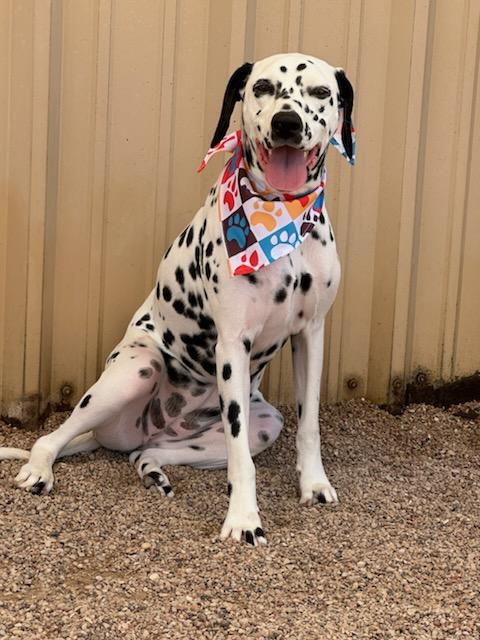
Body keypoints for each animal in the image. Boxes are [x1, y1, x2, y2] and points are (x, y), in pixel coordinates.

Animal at [0, 52, 352, 548]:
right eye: (262, 87)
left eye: (321, 93)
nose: (286, 122)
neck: (281, 221)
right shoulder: (232, 344)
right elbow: (241, 461)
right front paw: (243, 519)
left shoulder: (311, 336)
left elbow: (310, 424)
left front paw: (314, 483)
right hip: (133, 372)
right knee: (53, 438)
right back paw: (39, 469)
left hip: (262, 424)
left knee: (149, 452)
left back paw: (152, 470)